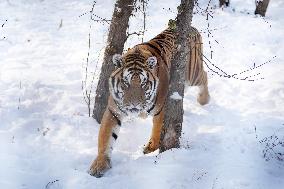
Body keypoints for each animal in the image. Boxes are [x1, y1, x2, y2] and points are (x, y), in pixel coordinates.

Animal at [90, 23, 210, 177]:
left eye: (144, 83)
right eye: (125, 83)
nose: (134, 104)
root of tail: (192, 27)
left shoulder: (161, 109)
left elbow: (157, 131)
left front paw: (150, 149)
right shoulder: (113, 111)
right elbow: (105, 137)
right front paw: (99, 164)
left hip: (192, 75)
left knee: (204, 76)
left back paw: (203, 100)